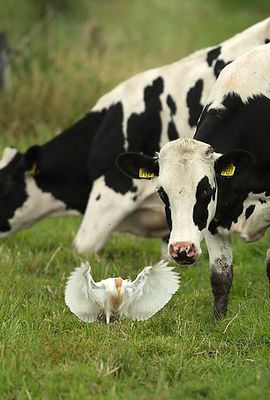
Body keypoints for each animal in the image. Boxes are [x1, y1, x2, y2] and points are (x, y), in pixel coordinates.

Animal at [117, 43, 270, 318]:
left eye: (206, 190)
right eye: (162, 193)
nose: (182, 249)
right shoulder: (214, 219)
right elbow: (220, 277)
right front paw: (218, 321)